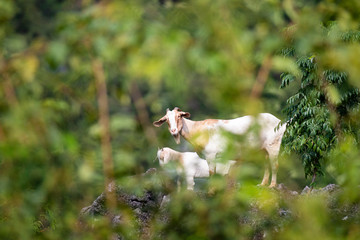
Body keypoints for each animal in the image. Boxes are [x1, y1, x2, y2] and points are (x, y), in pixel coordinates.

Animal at [153, 107, 286, 188]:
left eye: (179, 116)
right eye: (166, 120)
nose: (174, 131)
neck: (198, 129)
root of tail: (281, 122)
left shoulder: (211, 154)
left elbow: (212, 172)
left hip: (274, 144)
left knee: (275, 164)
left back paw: (272, 186)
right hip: (262, 149)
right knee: (266, 164)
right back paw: (263, 184)